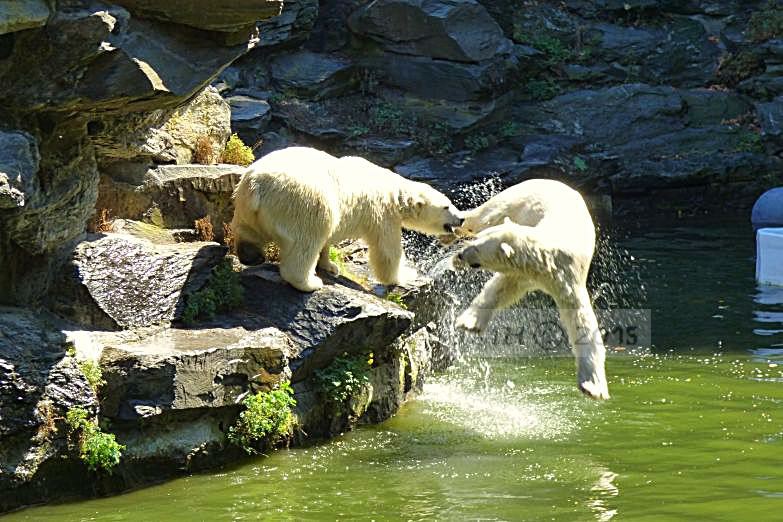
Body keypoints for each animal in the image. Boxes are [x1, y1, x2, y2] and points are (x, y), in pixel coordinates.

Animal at [233, 146, 466, 290]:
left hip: (244, 203)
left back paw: (250, 255)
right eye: (447, 206)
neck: (395, 190)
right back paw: (309, 283)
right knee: (308, 237)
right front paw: (405, 275)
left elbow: (327, 244)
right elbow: (387, 251)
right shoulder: (383, 213)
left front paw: (330, 266)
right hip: (302, 201)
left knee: (247, 230)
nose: (461, 219)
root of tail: (256, 184)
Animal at [450, 179, 608, 398]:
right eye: (477, 241)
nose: (462, 255)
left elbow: (580, 319)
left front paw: (592, 387)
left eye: (478, 249)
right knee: (483, 216)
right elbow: (498, 288)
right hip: (514, 200)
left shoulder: (561, 277)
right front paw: (469, 322)